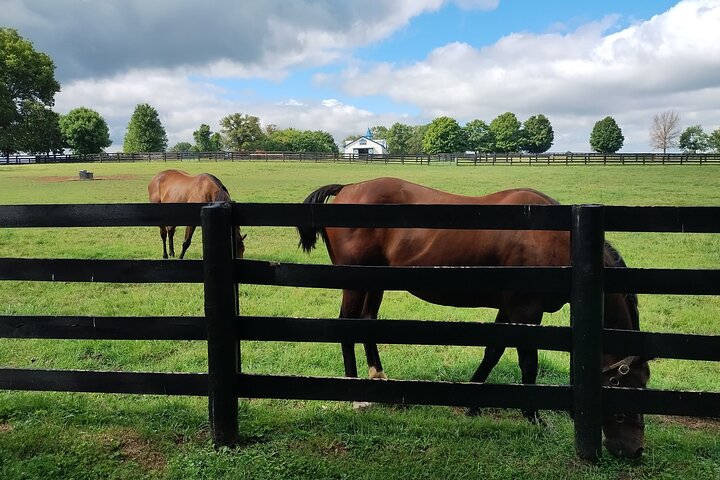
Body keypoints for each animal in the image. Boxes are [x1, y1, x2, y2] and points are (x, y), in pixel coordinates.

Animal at [297, 177, 650, 459]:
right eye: (626, 384)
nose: (634, 451)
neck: (561, 240)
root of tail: (348, 188)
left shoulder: (510, 309)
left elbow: (493, 350)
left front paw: (473, 402)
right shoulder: (525, 310)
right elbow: (528, 363)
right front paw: (533, 416)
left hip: (375, 281)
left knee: (367, 322)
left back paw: (379, 379)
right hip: (355, 282)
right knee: (347, 325)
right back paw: (357, 399)